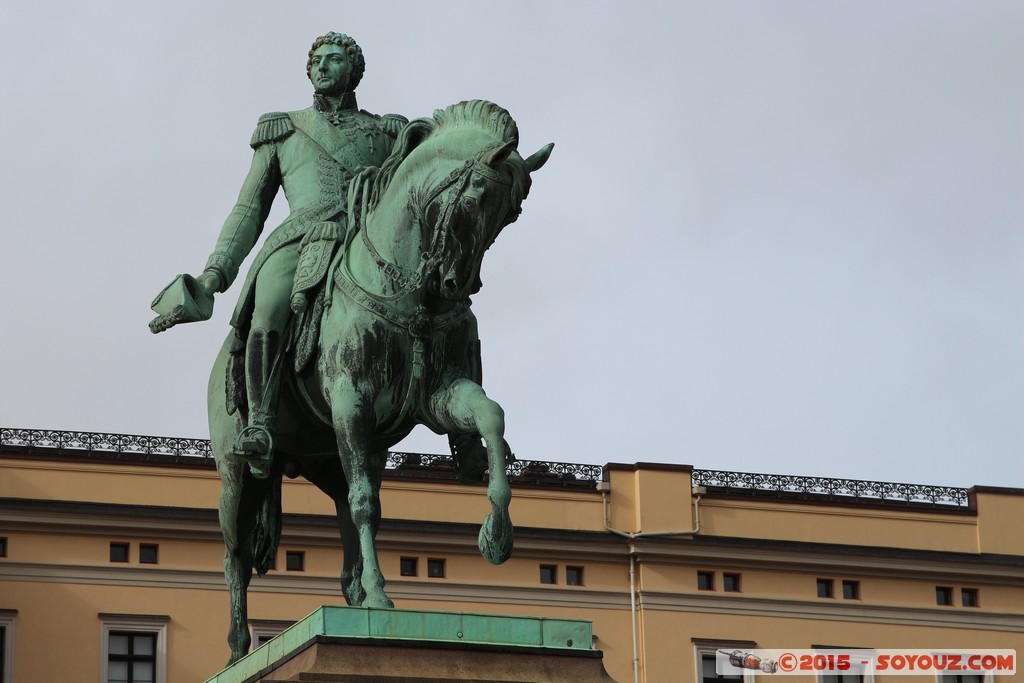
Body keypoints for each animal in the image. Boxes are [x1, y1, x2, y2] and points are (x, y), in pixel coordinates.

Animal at [205, 101, 552, 663]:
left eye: (512, 213)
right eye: (477, 195)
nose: (459, 285)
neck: (411, 291)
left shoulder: (439, 394)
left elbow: (491, 418)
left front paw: (496, 535)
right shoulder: (352, 401)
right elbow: (368, 502)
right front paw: (381, 597)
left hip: (333, 460)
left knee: (345, 516)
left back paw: (354, 594)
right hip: (238, 472)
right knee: (235, 554)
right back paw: (238, 649)